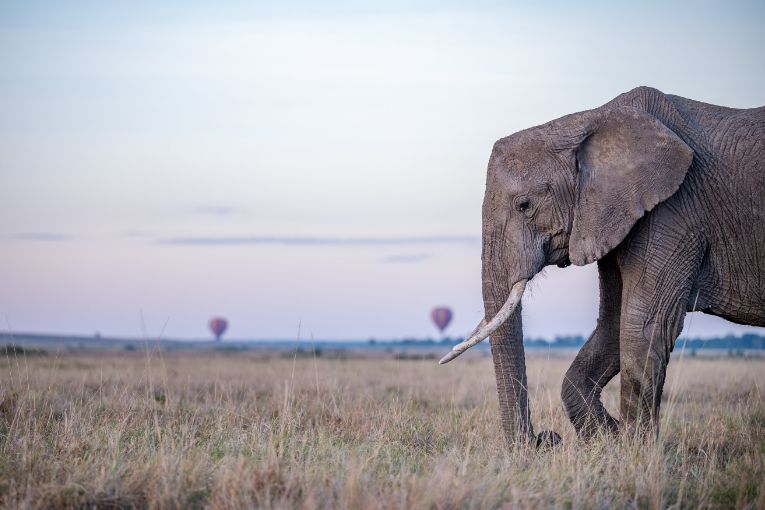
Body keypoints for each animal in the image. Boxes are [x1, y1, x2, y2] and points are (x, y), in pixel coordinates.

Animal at [438, 85, 760, 444]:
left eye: (524, 205)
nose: (546, 439)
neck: (590, 120)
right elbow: (613, 325)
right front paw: (609, 436)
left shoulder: (674, 210)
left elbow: (642, 326)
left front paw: (633, 450)